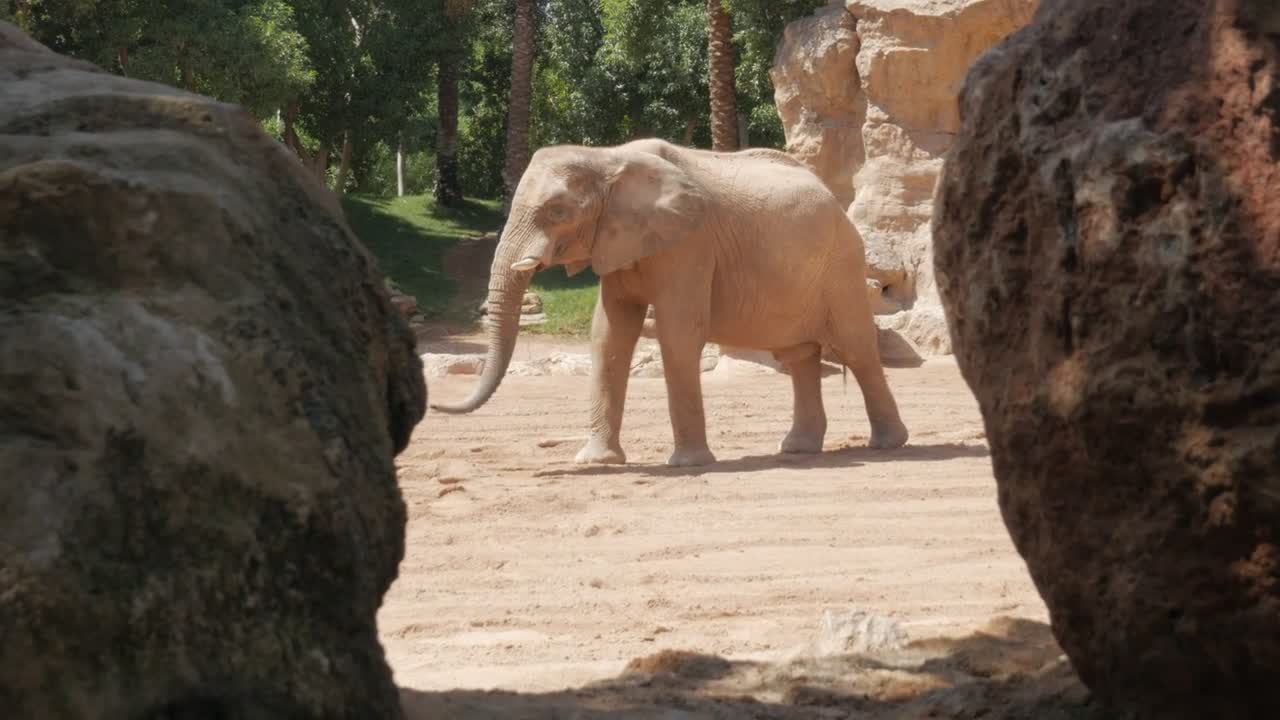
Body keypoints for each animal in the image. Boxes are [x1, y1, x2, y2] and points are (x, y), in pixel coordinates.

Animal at [432, 137, 911, 466]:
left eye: (557, 212)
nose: (435, 406)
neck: (606, 157)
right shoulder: (621, 244)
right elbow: (609, 335)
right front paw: (596, 463)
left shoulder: (689, 243)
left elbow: (678, 332)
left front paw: (688, 465)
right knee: (798, 356)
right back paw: (796, 450)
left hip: (842, 265)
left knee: (856, 348)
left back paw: (889, 445)